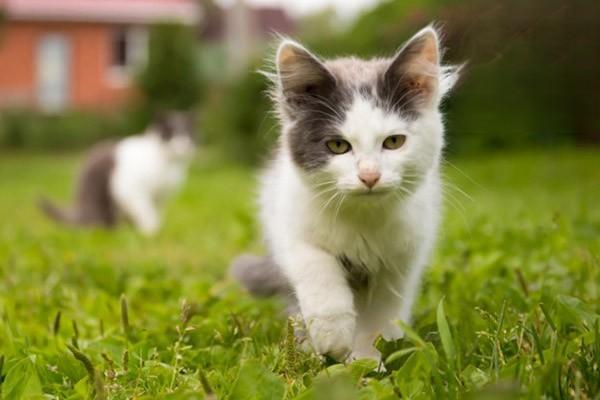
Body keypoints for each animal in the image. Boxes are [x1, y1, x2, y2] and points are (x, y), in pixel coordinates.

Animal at [232, 26, 462, 360]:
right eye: (338, 146)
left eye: (394, 142)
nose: (369, 176)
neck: (363, 218)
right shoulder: (289, 225)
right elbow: (319, 270)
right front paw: (332, 337)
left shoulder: (402, 260)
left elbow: (379, 318)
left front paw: (367, 359)